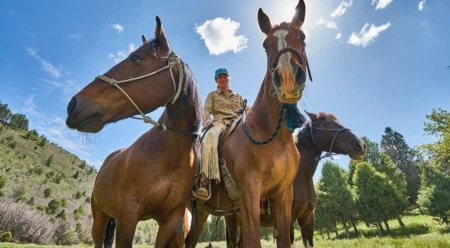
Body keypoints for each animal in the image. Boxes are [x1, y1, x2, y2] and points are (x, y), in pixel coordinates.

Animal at [64, 16, 201, 247]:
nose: (72, 105)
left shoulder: (171, 220)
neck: (170, 155)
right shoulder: (128, 215)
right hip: (100, 217)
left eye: (135, 58)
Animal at [188, 0, 312, 247]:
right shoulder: (249, 192)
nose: (287, 78)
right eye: (265, 44)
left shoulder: (283, 195)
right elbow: (252, 238)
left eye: (302, 36)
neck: (271, 134)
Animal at [221, 111, 366, 248]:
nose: (360, 145)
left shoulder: (307, 219)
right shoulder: (290, 219)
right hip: (232, 220)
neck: (301, 177)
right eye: (325, 123)